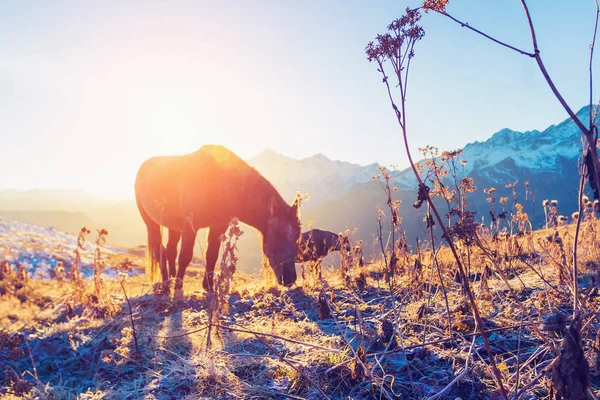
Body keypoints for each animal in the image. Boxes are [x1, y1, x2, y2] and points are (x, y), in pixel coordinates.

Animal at [133, 145, 298, 294]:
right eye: (279, 236)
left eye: (296, 239)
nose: (290, 279)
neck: (221, 182)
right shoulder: (190, 226)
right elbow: (185, 256)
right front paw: (179, 290)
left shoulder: (218, 226)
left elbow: (212, 255)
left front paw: (209, 286)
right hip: (150, 222)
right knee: (159, 250)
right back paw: (167, 286)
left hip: (173, 226)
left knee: (170, 251)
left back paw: (172, 279)